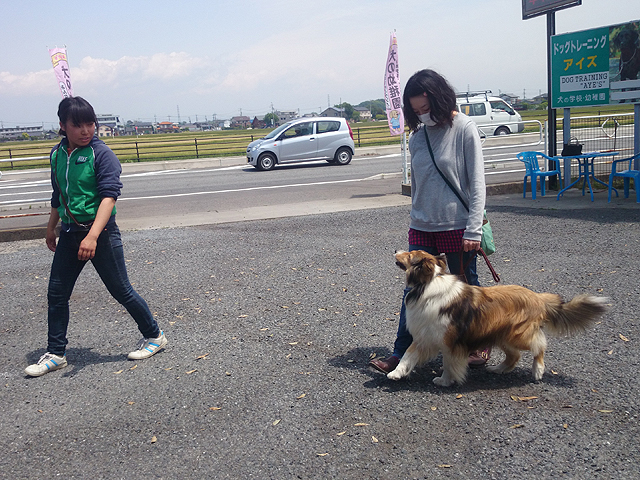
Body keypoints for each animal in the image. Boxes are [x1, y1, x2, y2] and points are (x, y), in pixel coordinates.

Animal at [388, 251, 608, 386]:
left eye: (410, 254)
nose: (396, 251)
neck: (426, 285)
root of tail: (538, 297)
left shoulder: (451, 341)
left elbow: (450, 364)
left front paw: (444, 381)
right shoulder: (425, 336)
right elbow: (408, 355)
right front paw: (396, 373)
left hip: (518, 335)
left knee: (540, 345)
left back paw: (538, 370)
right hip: (502, 335)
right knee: (515, 356)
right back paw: (498, 369)